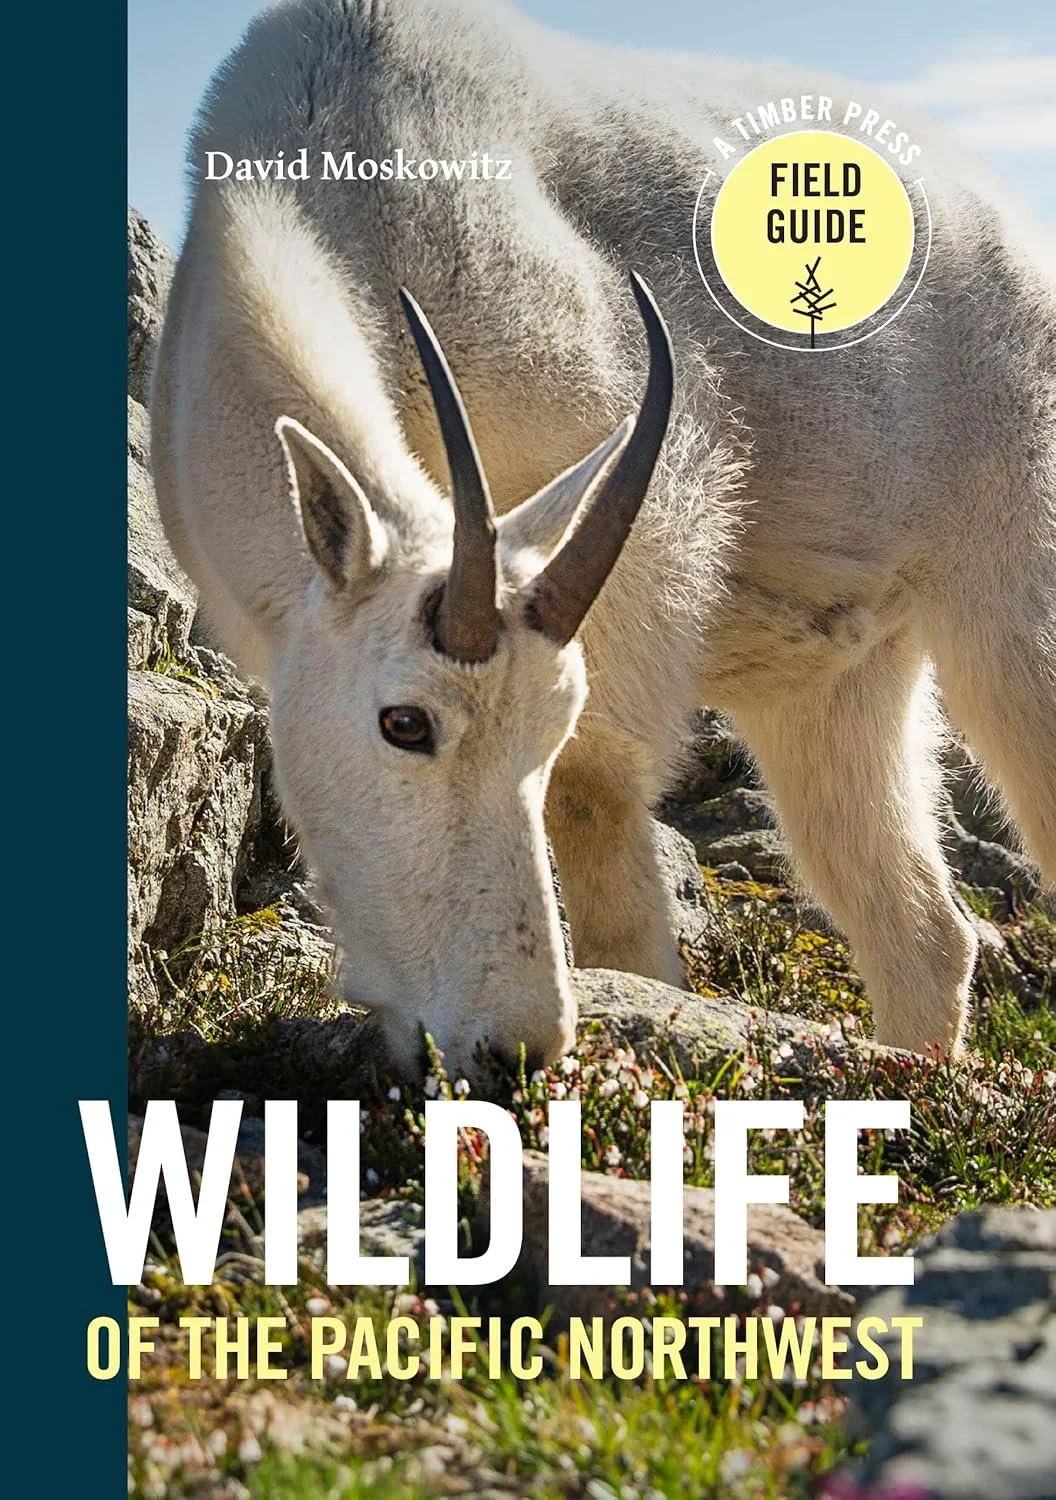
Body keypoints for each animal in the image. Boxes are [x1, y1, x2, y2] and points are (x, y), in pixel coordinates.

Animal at [150, 0, 1056, 1076]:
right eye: (404, 723)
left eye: (551, 723)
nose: (516, 1051)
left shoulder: (638, 518)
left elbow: (592, 790)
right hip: (838, 682)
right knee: (920, 930)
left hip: (1016, 604)